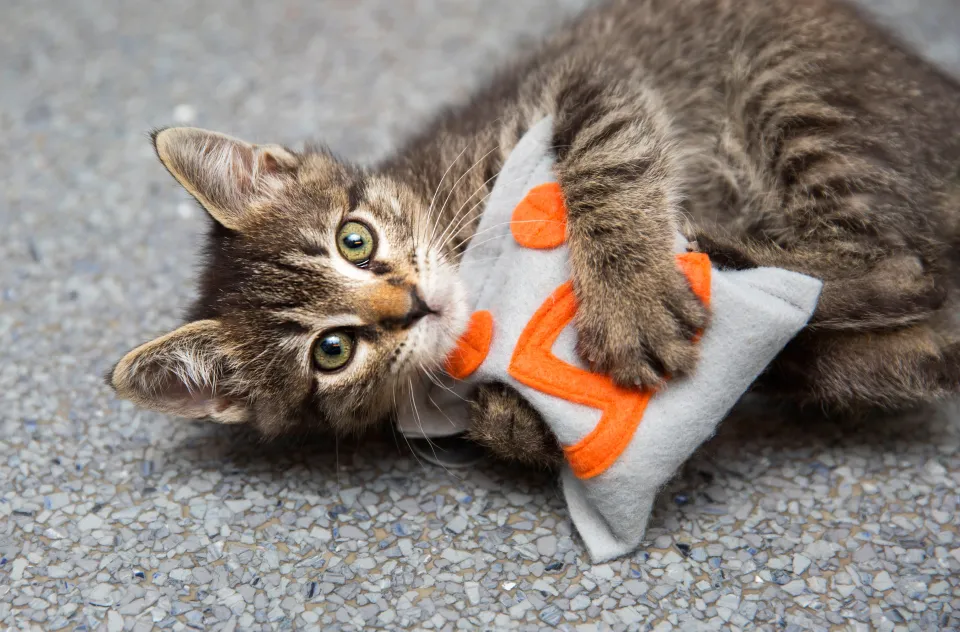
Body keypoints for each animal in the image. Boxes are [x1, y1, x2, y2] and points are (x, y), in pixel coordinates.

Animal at [107, 0, 960, 464]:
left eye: (356, 240)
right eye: (332, 351)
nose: (413, 305)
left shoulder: (585, 86)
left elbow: (603, 165)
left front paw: (628, 300)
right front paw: (514, 420)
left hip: (791, 86)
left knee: (904, 264)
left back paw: (724, 253)